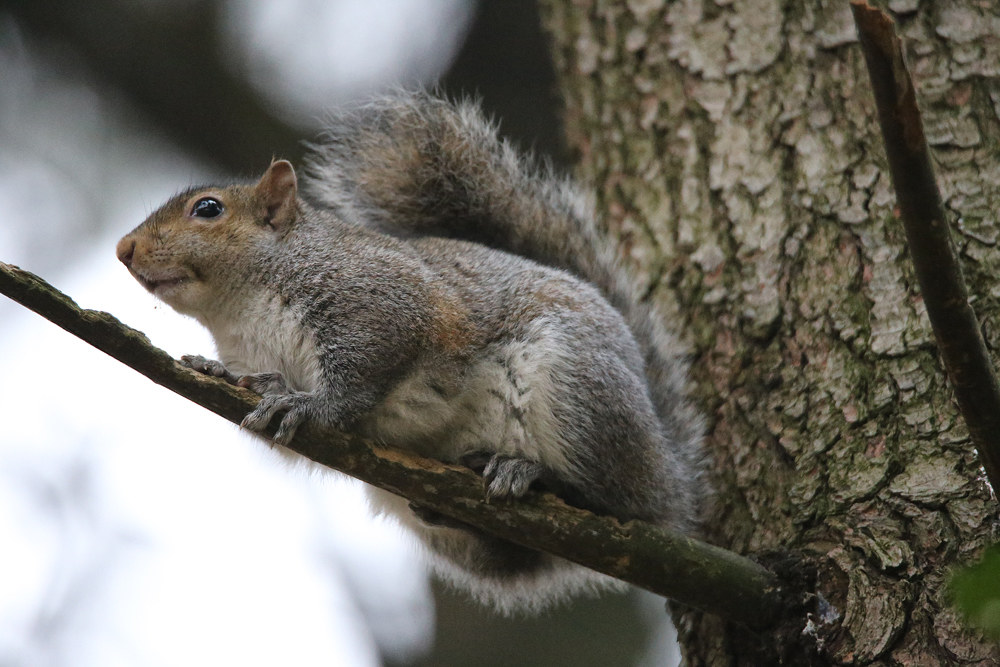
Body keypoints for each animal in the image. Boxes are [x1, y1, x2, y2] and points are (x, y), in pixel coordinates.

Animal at [115, 91, 703, 613]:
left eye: (208, 209)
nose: (124, 249)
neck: (240, 312)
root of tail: (668, 475)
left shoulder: (383, 304)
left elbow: (361, 375)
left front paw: (309, 405)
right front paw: (217, 370)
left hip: (576, 391)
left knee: (610, 504)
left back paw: (531, 473)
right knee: (507, 555)